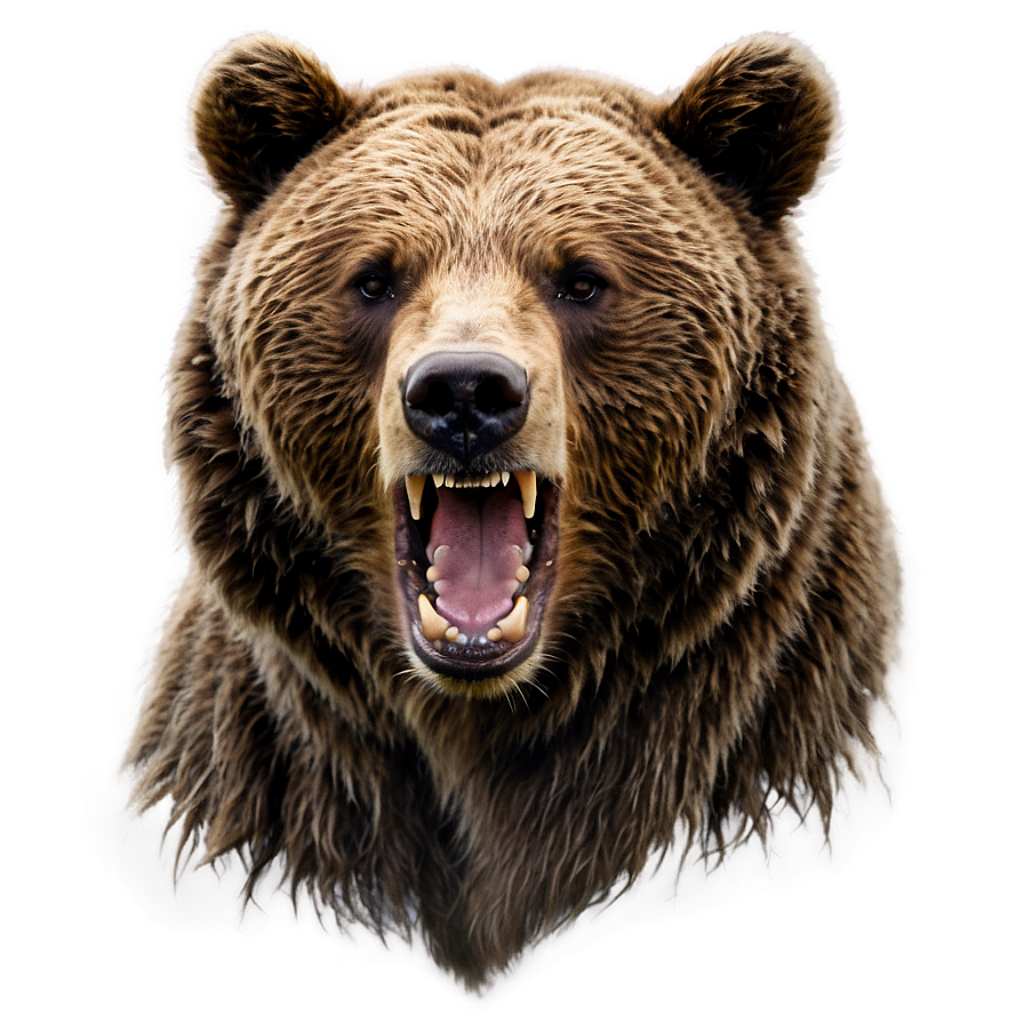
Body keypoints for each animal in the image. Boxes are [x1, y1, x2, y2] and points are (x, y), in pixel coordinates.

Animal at [114, 28, 908, 994]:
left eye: (582, 279)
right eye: (374, 278)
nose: (464, 392)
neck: (481, 720)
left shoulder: (768, 735)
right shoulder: (265, 778)